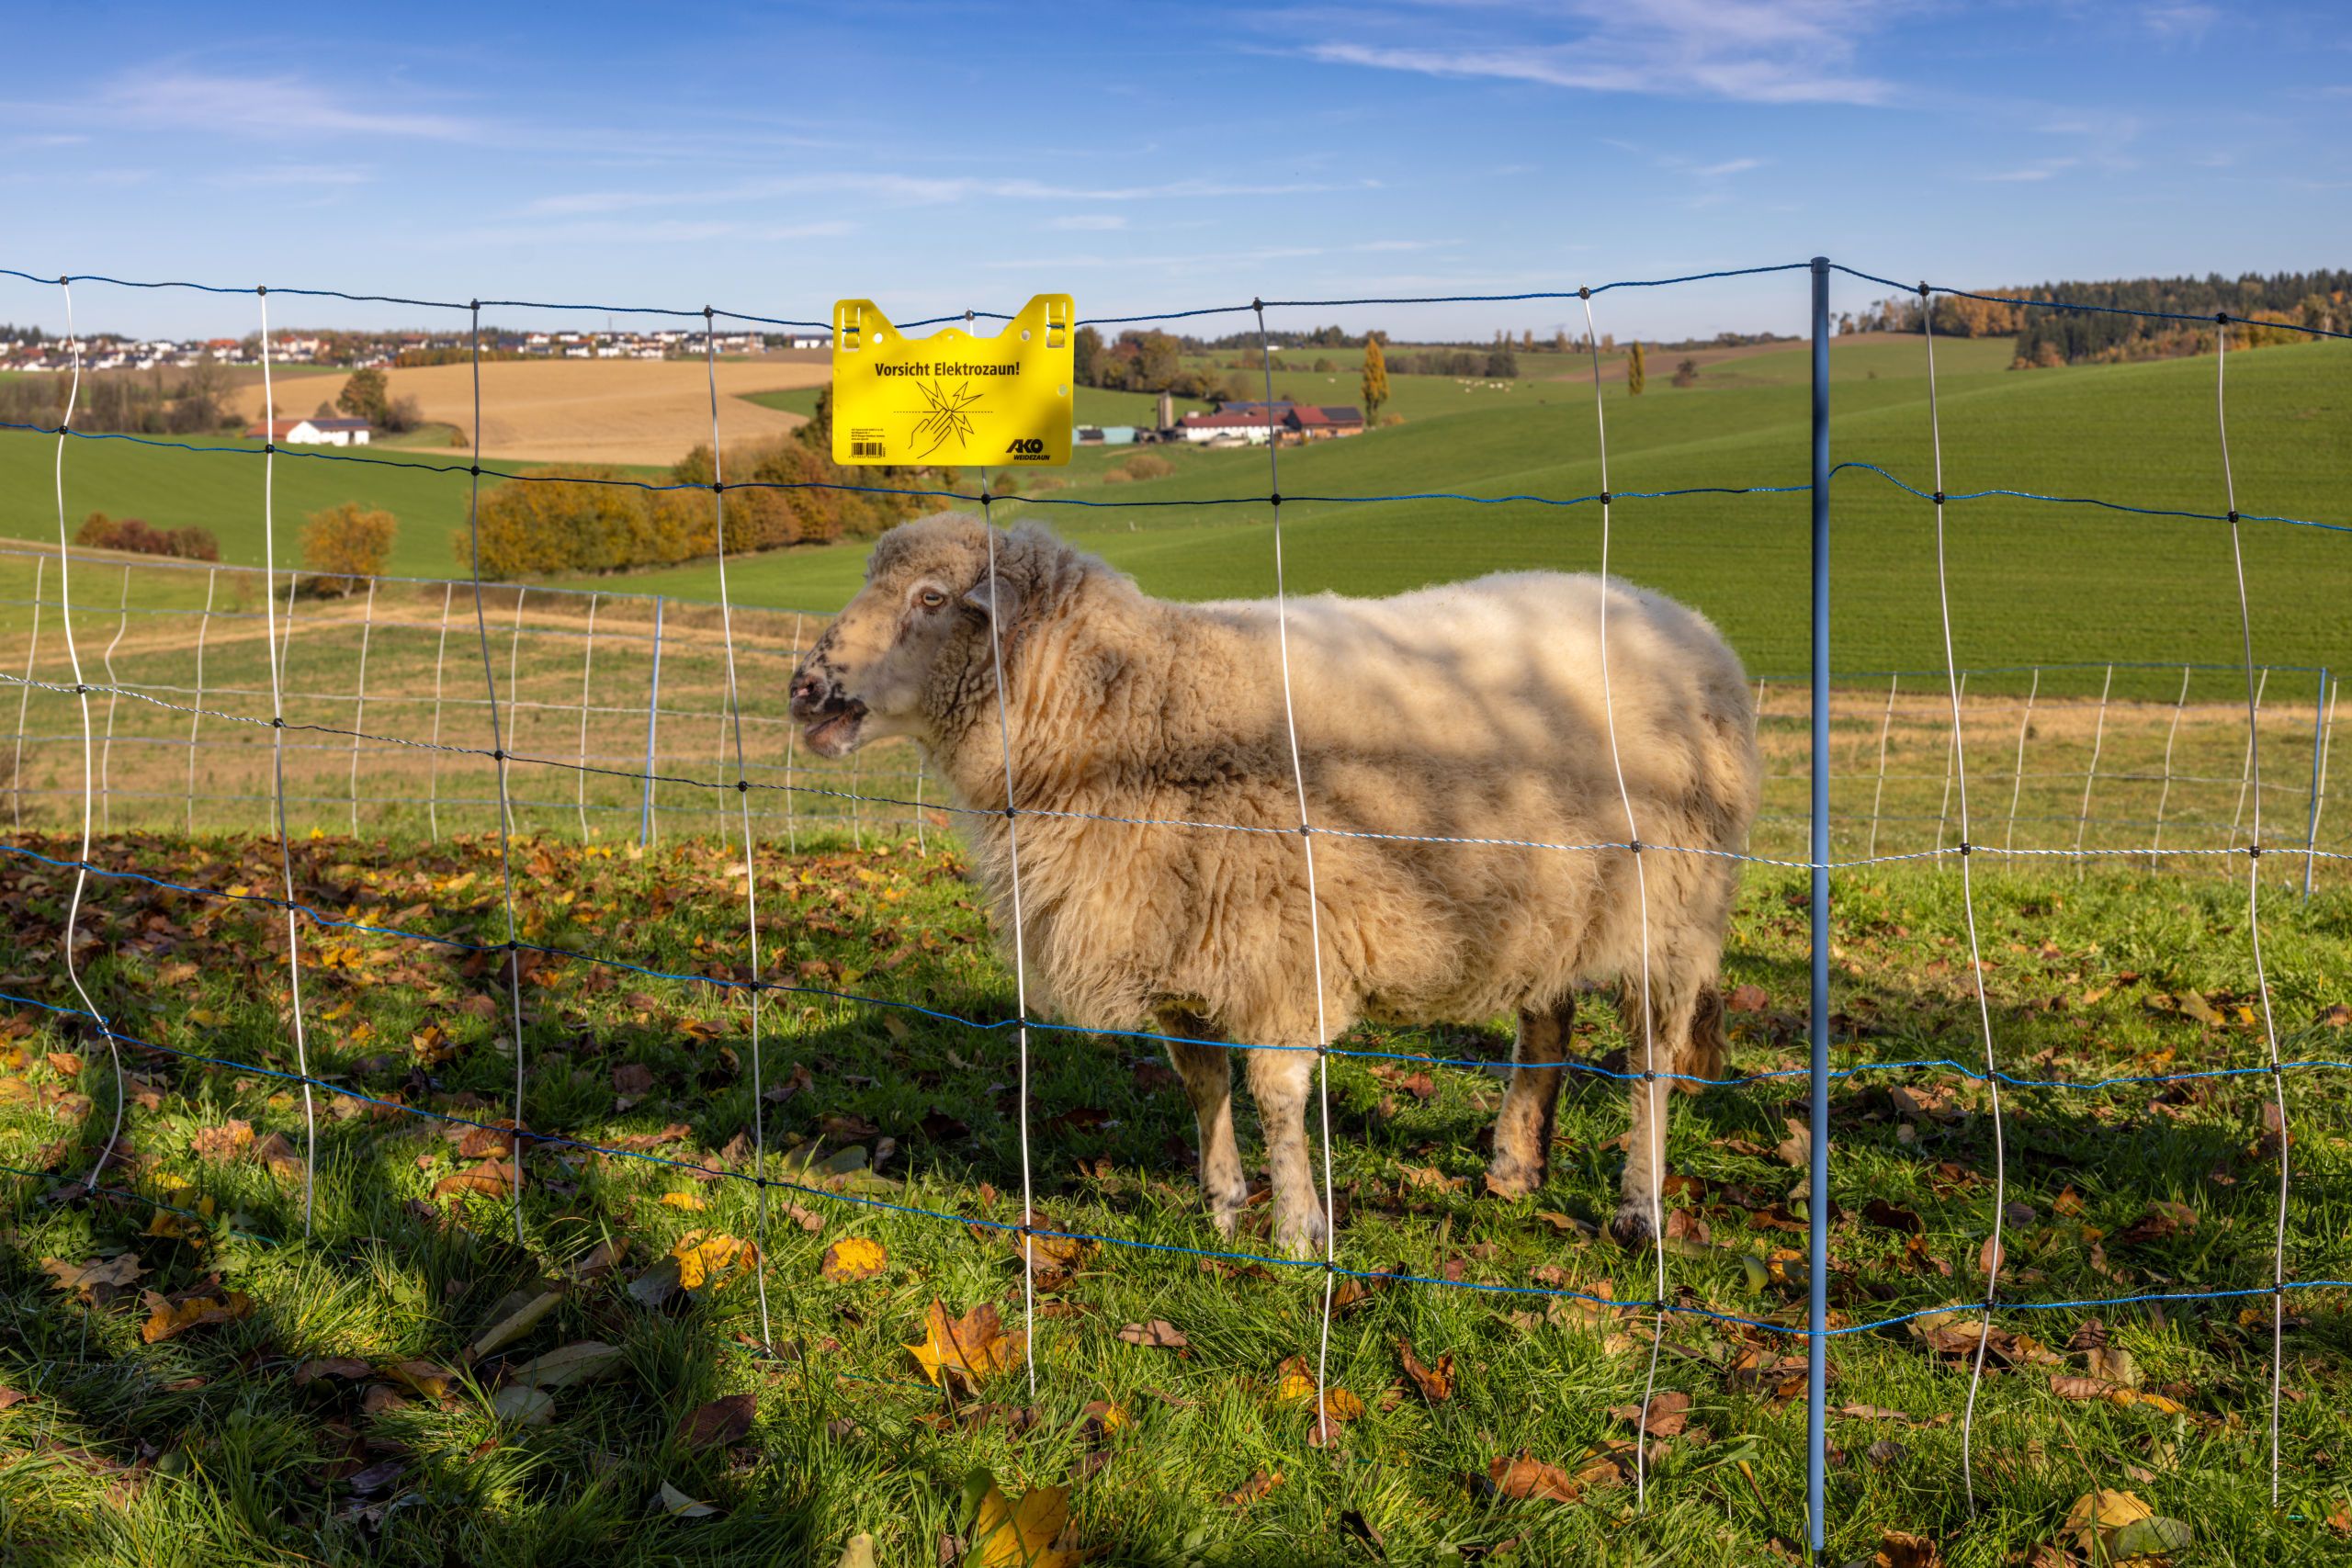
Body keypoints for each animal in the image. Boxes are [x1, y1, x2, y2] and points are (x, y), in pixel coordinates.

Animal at [788, 513, 1761, 1255]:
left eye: (932, 598)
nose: (804, 689)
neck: (1129, 708)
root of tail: (1681, 618)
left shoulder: (1281, 941)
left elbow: (1275, 1091)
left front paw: (1298, 1232)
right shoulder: (1179, 939)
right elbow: (1201, 1083)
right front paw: (1223, 1207)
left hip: (1672, 905)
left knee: (1650, 1058)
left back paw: (1639, 1208)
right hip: (1547, 895)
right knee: (1548, 1017)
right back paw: (1515, 1166)